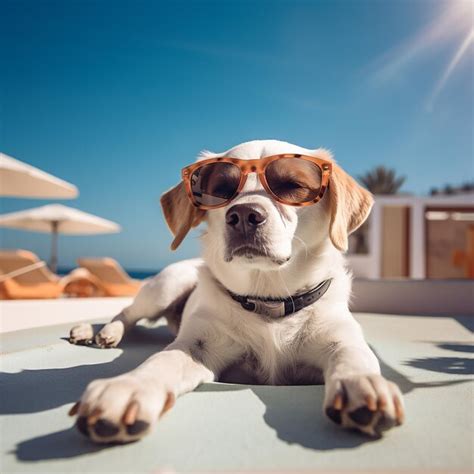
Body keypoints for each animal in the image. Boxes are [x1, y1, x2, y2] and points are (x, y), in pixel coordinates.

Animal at [69, 139, 404, 442]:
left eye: (291, 185)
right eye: (221, 188)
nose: (243, 215)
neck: (269, 301)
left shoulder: (339, 337)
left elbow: (353, 356)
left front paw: (362, 384)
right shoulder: (198, 346)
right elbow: (160, 361)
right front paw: (128, 387)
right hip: (166, 285)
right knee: (126, 312)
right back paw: (99, 330)